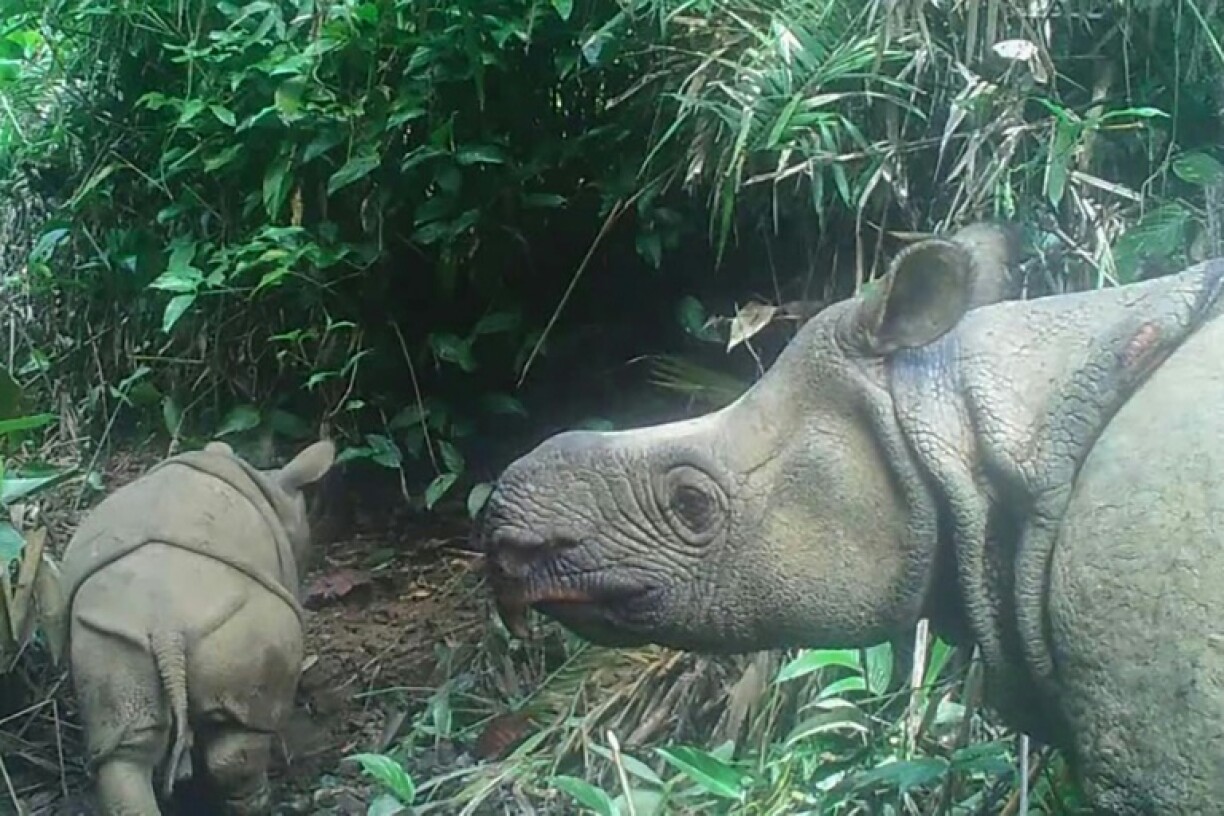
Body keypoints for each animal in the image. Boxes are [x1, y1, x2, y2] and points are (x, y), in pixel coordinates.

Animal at [60, 439, 336, 815]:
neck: (273, 488)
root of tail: (165, 627)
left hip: (108, 638)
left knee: (126, 751)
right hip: (238, 630)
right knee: (241, 731)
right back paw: (260, 802)